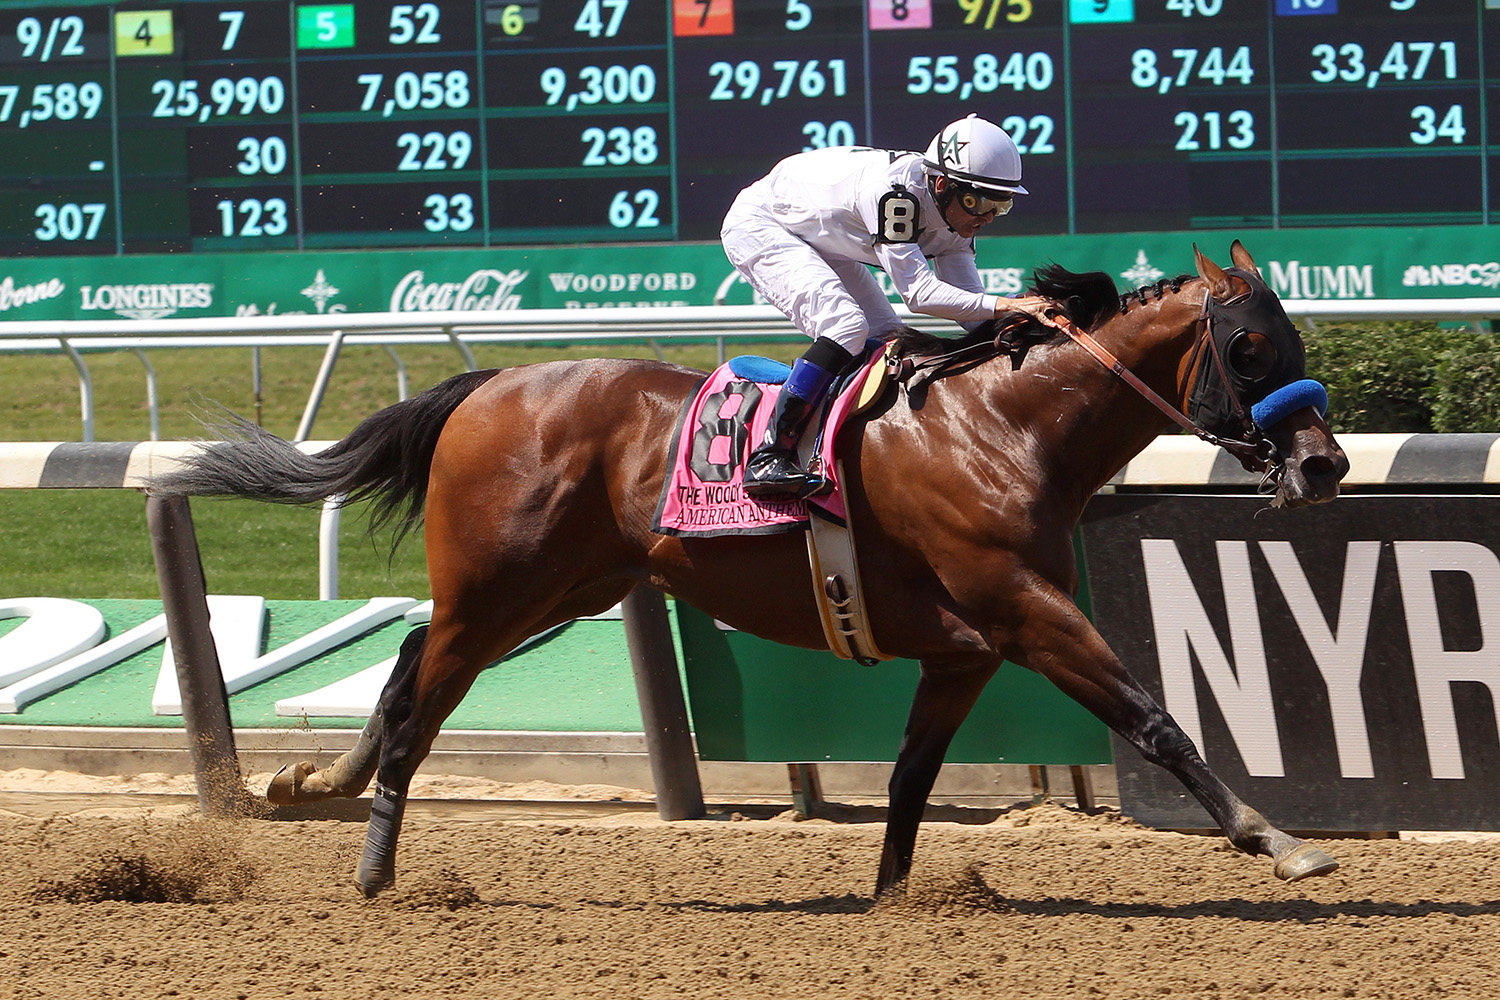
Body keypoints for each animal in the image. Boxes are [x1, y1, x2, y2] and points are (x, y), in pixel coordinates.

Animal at [149, 242, 1350, 899]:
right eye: (1248, 349)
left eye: (1292, 341)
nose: (1326, 464)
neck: (1005, 427)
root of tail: (489, 386)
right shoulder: (1024, 608)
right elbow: (1152, 716)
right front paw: (1279, 841)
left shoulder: (965, 646)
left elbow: (910, 777)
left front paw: (893, 898)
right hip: (502, 584)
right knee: (421, 697)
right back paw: (375, 866)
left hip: (562, 588)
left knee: (405, 659)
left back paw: (314, 783)